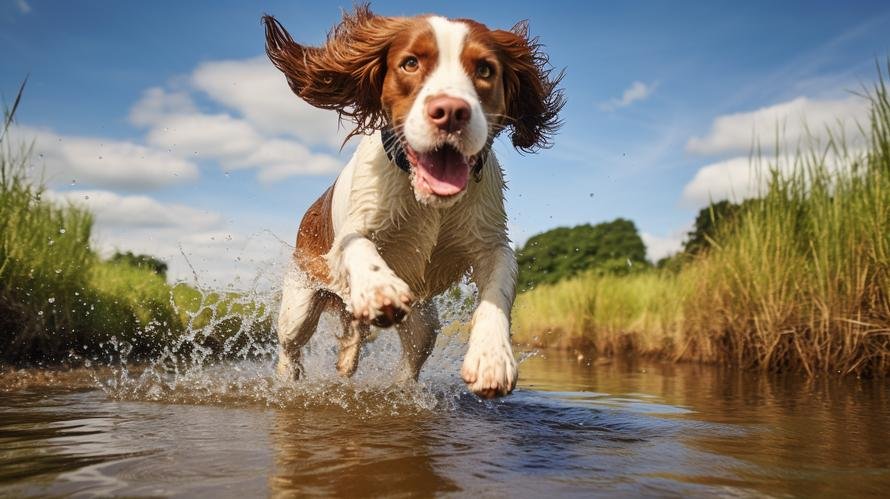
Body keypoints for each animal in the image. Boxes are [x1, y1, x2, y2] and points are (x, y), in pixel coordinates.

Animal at [262, 4, 560, 398]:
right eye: (410, 63)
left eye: (484, 69)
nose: (451, 111)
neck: (429, 201)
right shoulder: (353, 231)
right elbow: (358, 245)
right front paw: (380, 289)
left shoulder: (491, 243)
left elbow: (498, 287)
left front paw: (492, 358)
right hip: (300, 300)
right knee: (290, 347)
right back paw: (290, 378)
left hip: (423, 321)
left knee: (403, 361)